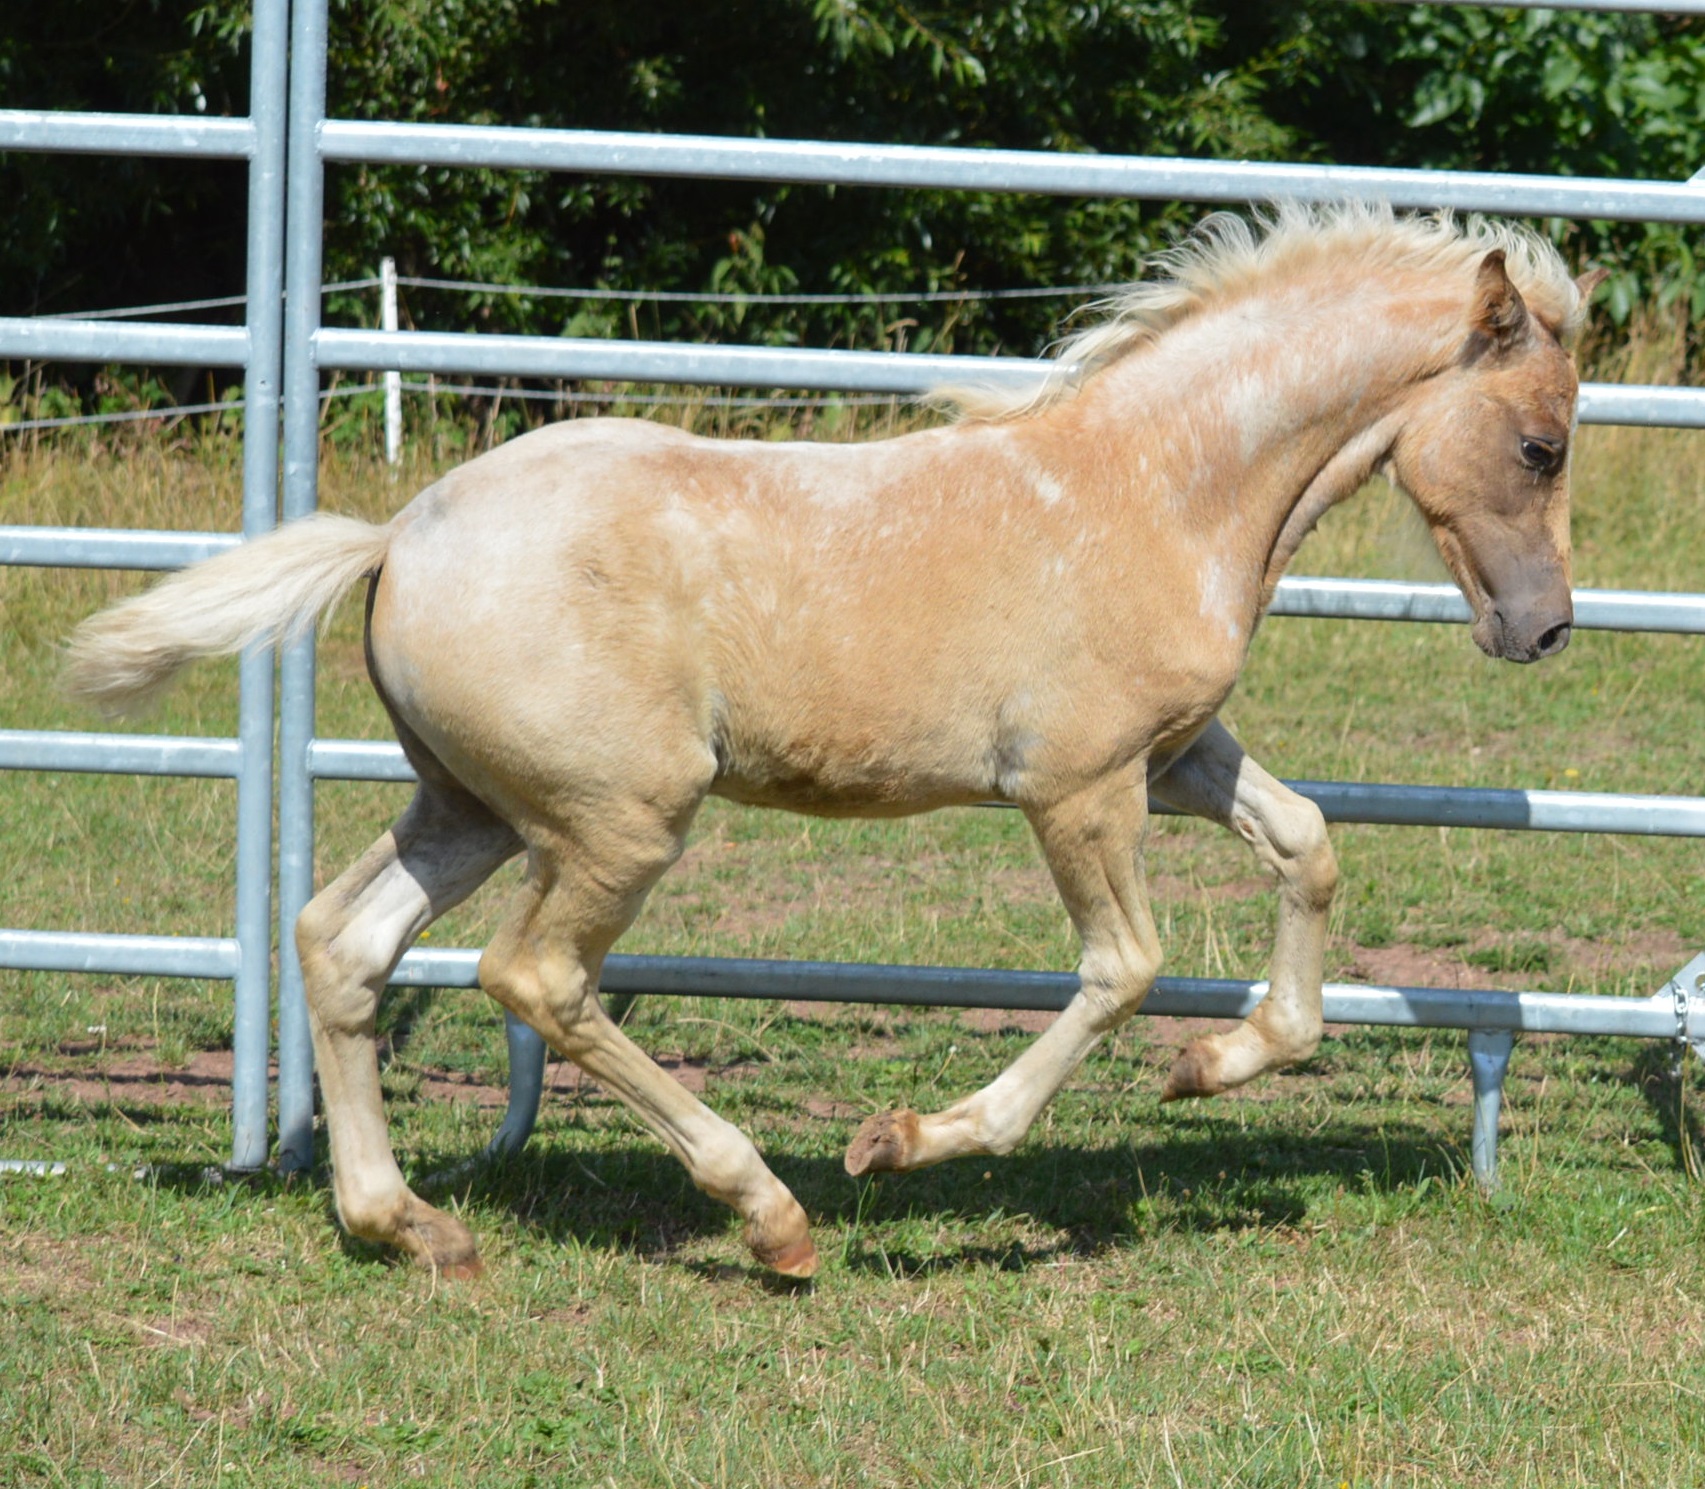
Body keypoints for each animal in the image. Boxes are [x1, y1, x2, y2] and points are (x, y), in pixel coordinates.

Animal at [64, 203, 1602, 1281]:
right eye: (1541, 446)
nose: (1542, 630)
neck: (1158, 490)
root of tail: (399, 535)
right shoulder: (1076, 787)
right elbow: (1123, 967)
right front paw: (908, 1143)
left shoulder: (1173, 757)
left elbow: (1305, 842)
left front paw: (1214, 1065)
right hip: (619, 818)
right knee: (535, 976)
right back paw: (771, 1214)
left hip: (473, 806)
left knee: (344, 942)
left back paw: (413, 1227)